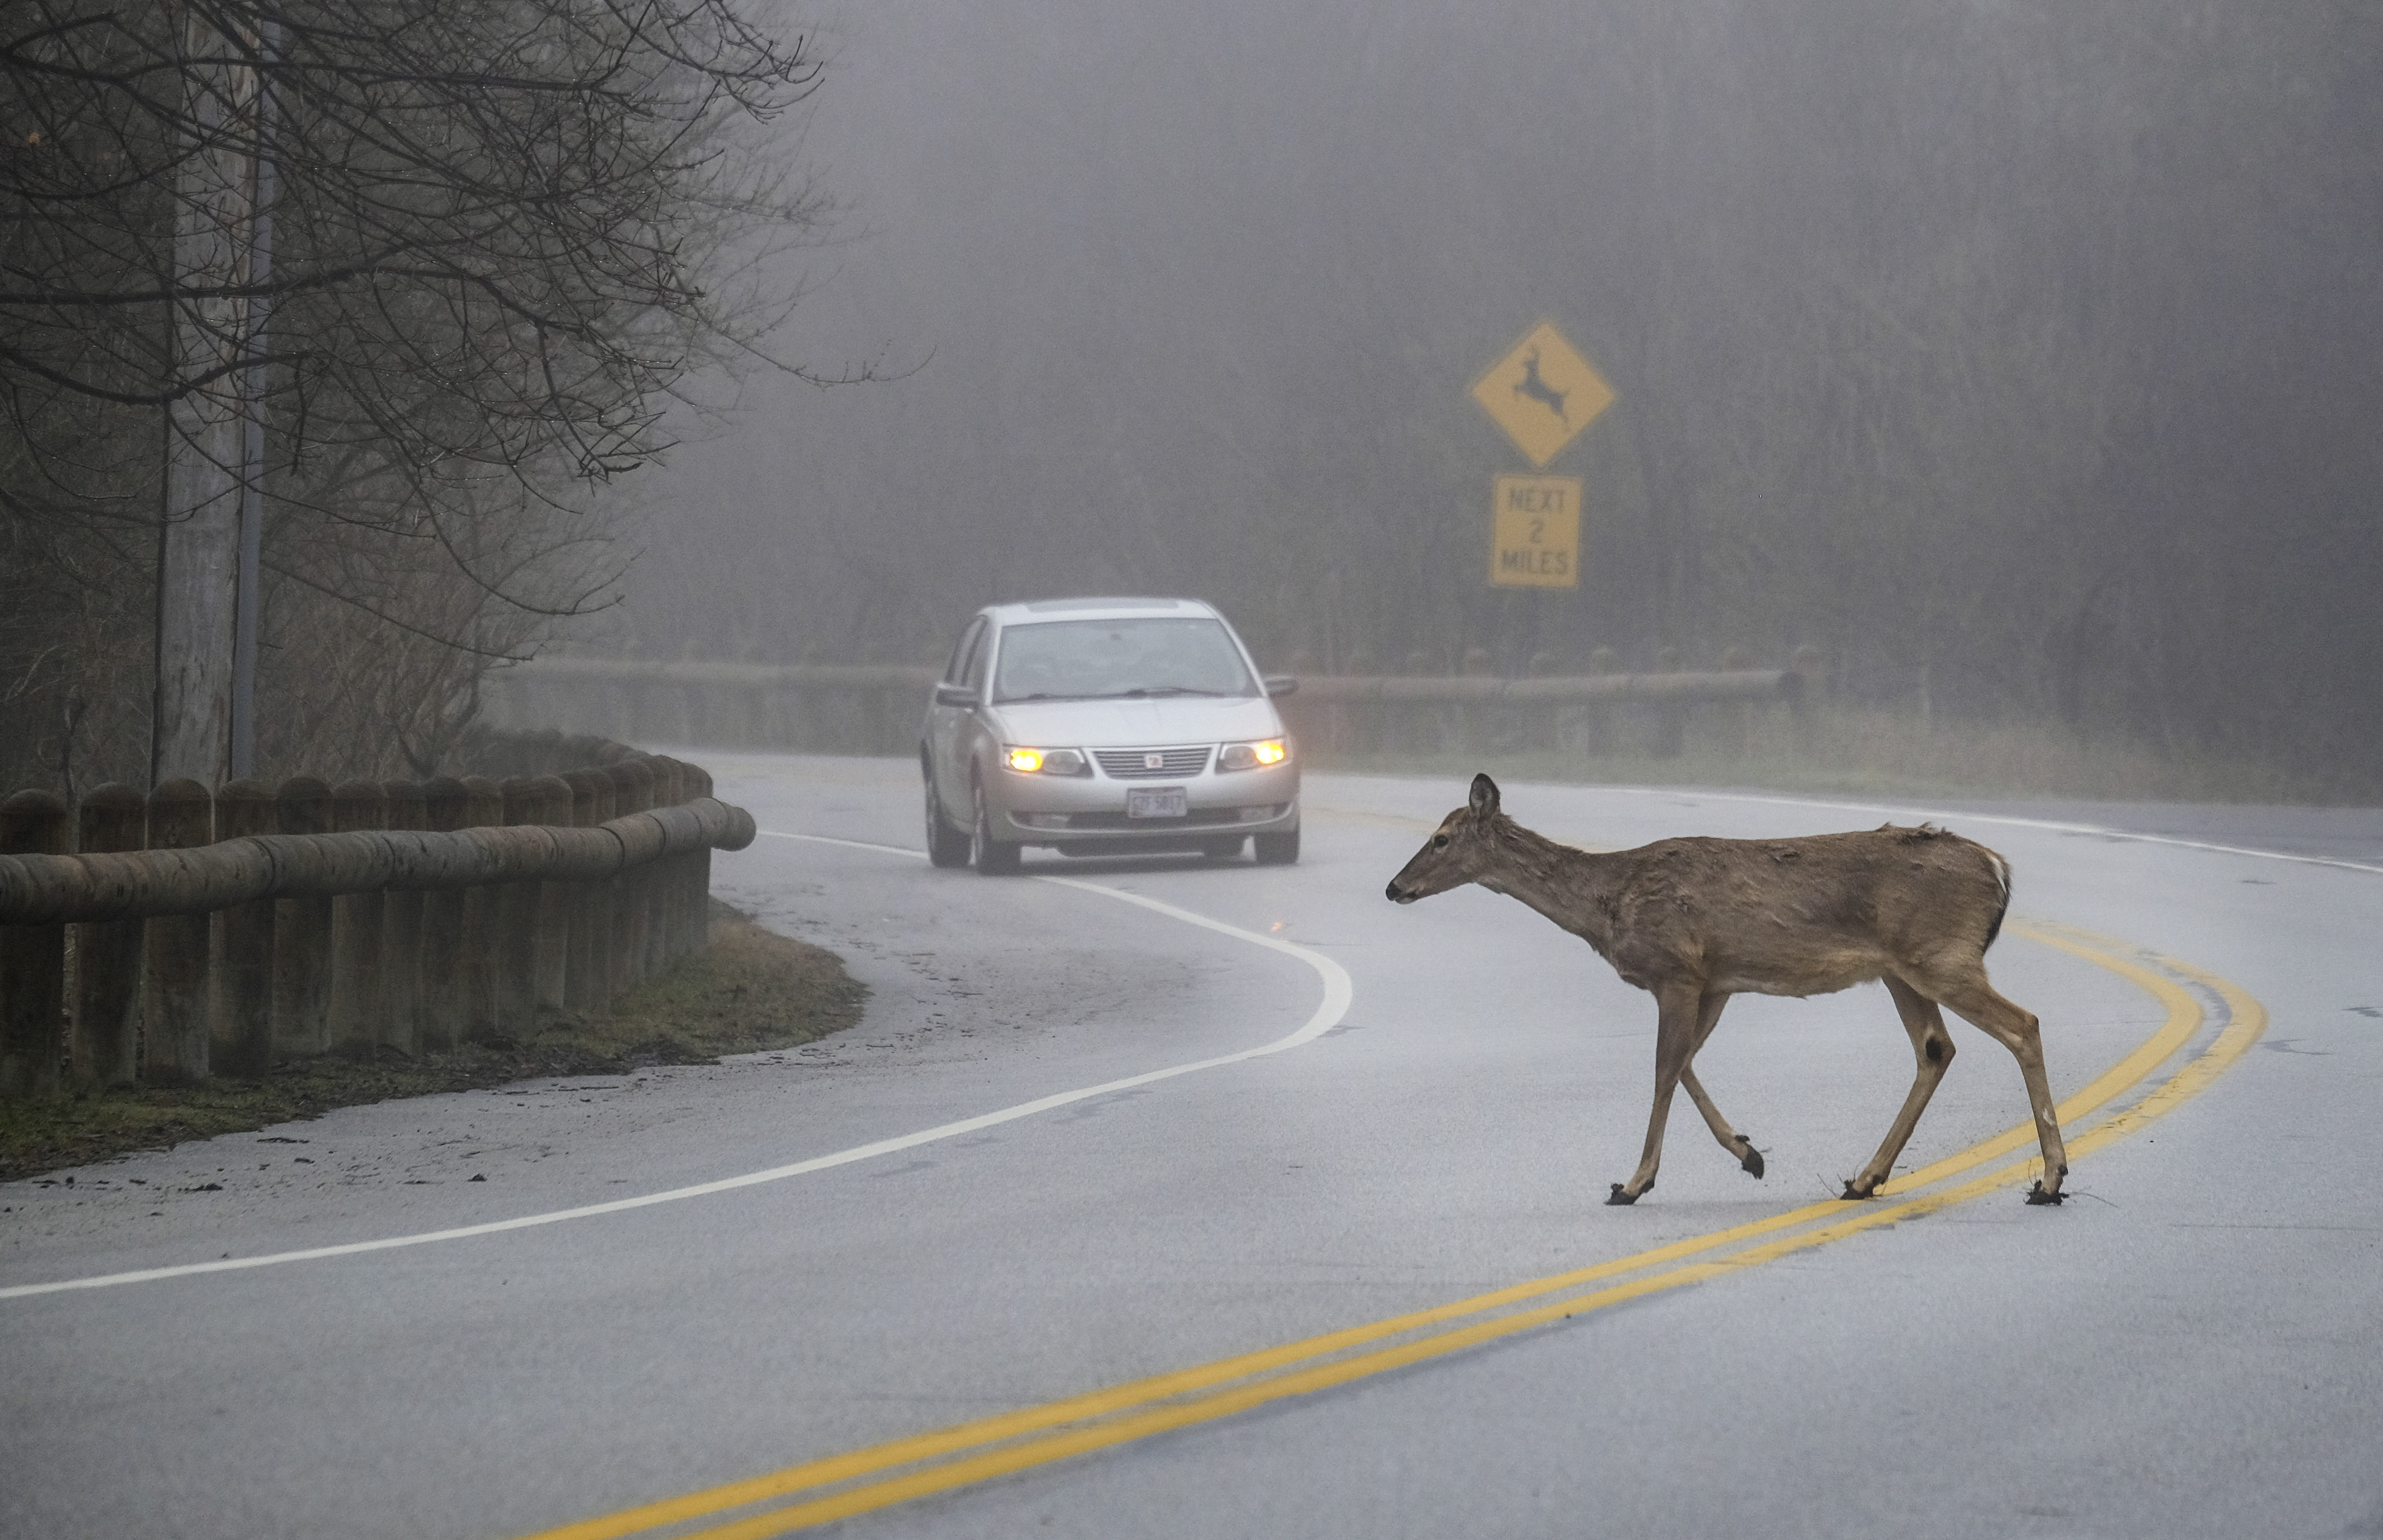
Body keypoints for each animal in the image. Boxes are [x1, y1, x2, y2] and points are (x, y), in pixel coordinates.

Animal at [1384, 775, 2068, 1206]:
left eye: (1441, 838)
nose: (1393, 887)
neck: (1609, 903)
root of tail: (1996, 868)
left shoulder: (1676, 970)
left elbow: (1662, 1068)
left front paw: (1634, 1183)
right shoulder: (1715, 981)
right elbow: (1684, 1063)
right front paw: (1748, 1153)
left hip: (1939, 954)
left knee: (2022, 1024)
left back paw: (2049, 1180)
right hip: (1902, 969)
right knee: (1934, 1049)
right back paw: (1864, 1179)